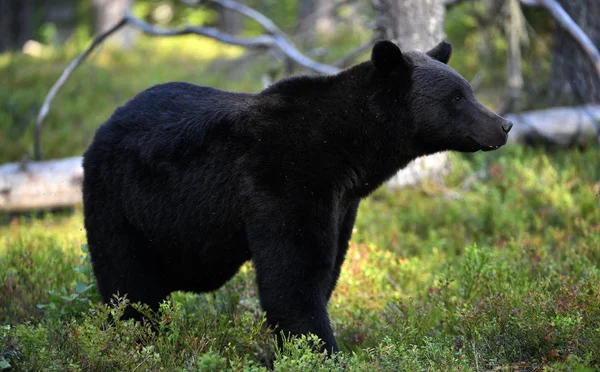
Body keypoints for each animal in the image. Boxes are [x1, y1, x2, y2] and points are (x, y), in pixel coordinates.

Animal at [79, 39, 510, 354]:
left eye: (468, 89)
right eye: (457, 97)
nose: (503, 124)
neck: (349, 148)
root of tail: (103, 126)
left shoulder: (343, 202)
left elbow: (326, 268)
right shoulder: (285, 176)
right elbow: (293, 277)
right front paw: (320, 349)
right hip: (119, 205)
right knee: (128, 284)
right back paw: (136, 339)